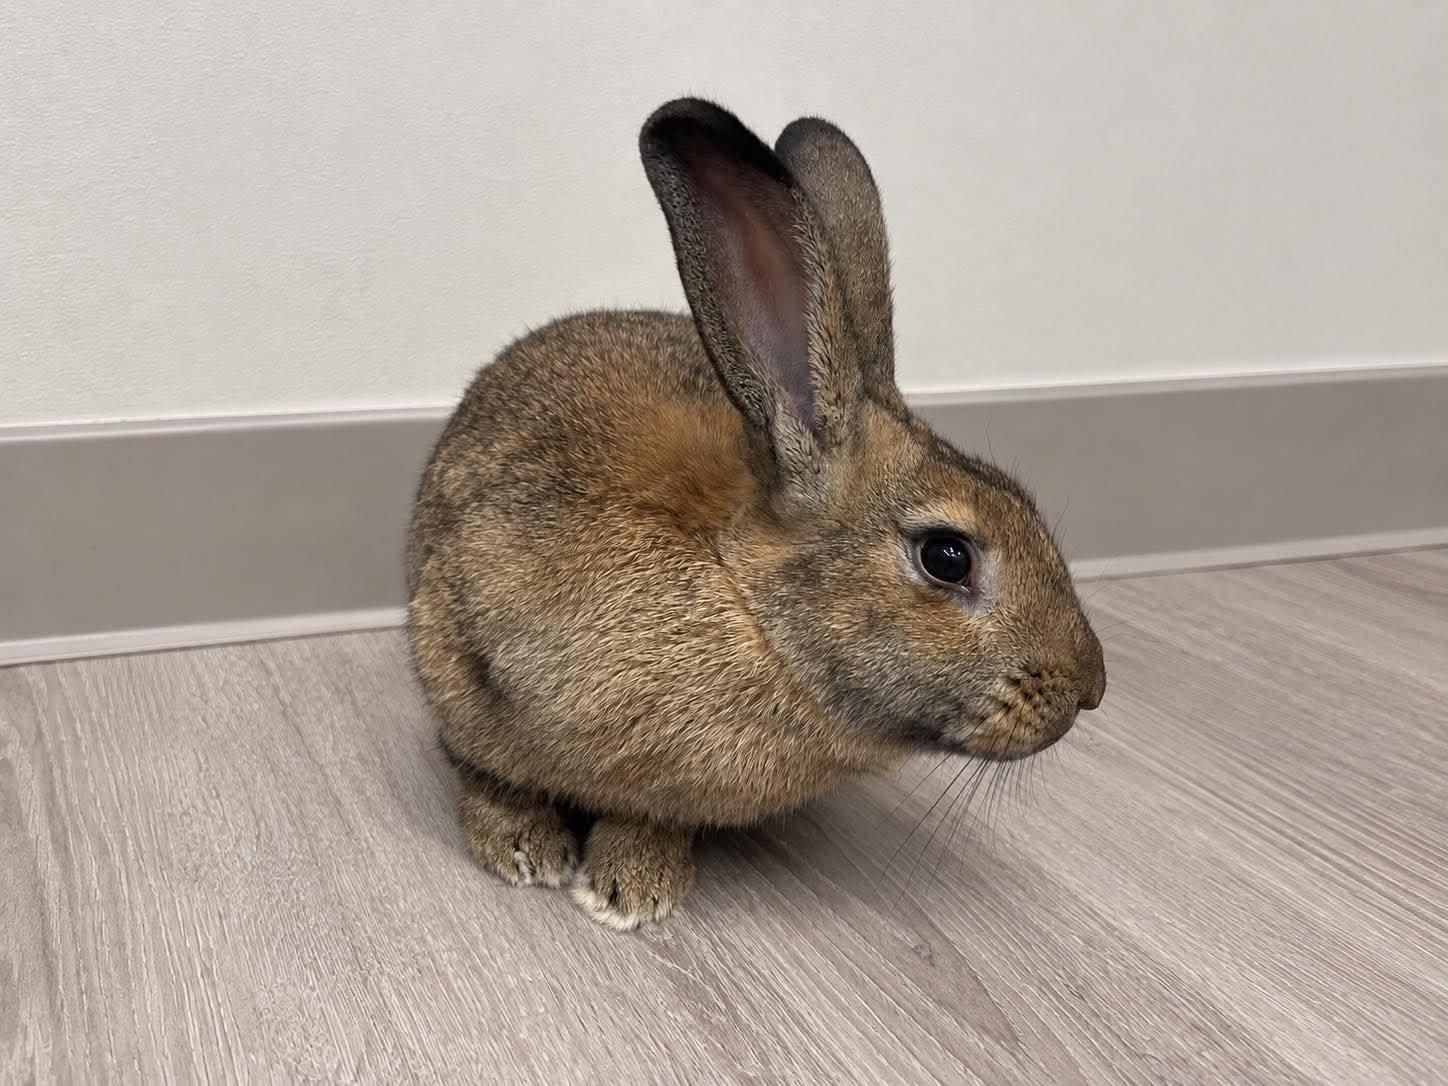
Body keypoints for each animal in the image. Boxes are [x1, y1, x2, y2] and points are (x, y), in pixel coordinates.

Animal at [406, 98, 1105, 931]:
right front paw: (523, 851)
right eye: (947, 556)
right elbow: (488, 770)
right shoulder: (463, 649)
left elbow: (649, 814)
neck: (749, 606)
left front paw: (636, 884)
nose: (1091, 687)